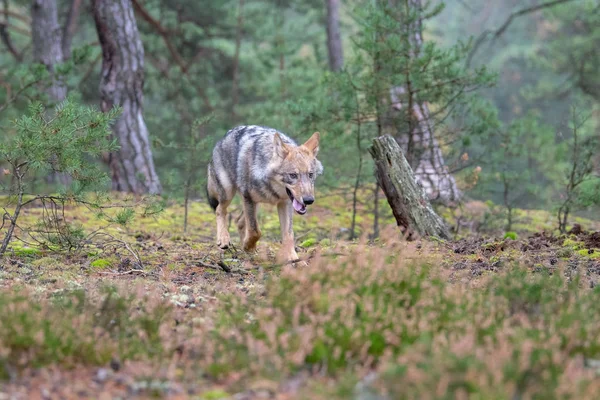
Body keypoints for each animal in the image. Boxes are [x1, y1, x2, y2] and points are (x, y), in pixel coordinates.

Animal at [207, 123, 324, 264]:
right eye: (293, 175)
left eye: (310, 174)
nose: (309, 200)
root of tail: (224, 136)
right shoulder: (248, 197)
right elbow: (255, 231)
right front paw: (248, 246)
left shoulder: (285, 203)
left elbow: (288, 234)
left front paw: (294, 259)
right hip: (229, 192)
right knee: (220, 210)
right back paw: (224, 239)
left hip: (254, 204)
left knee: (239, 221)